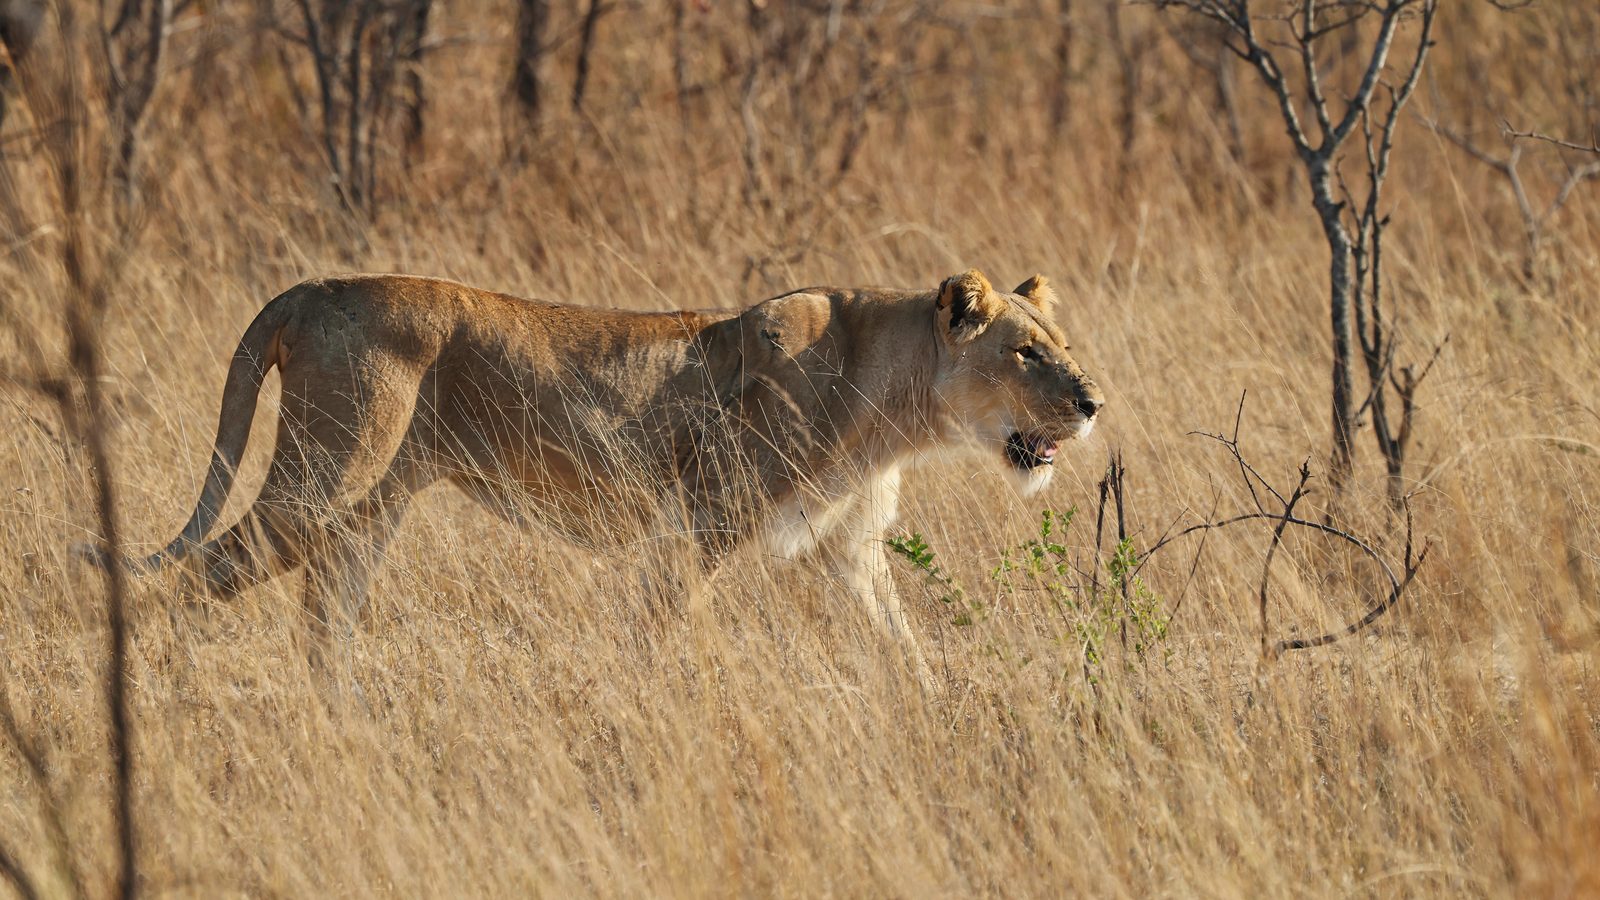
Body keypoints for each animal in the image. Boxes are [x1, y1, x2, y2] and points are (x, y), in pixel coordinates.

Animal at [92, 268, 1103, 680]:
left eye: (1060, 343)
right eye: (1024, 354)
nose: (1094, 402)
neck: (896, 407)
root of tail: (310, 289)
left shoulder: (848, 553)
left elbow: (903, 649)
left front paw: (943, 725)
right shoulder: (702, 524)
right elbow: (661, 634)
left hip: (368, 507)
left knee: (322, 624)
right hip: (322, 481)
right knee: (202, 572)